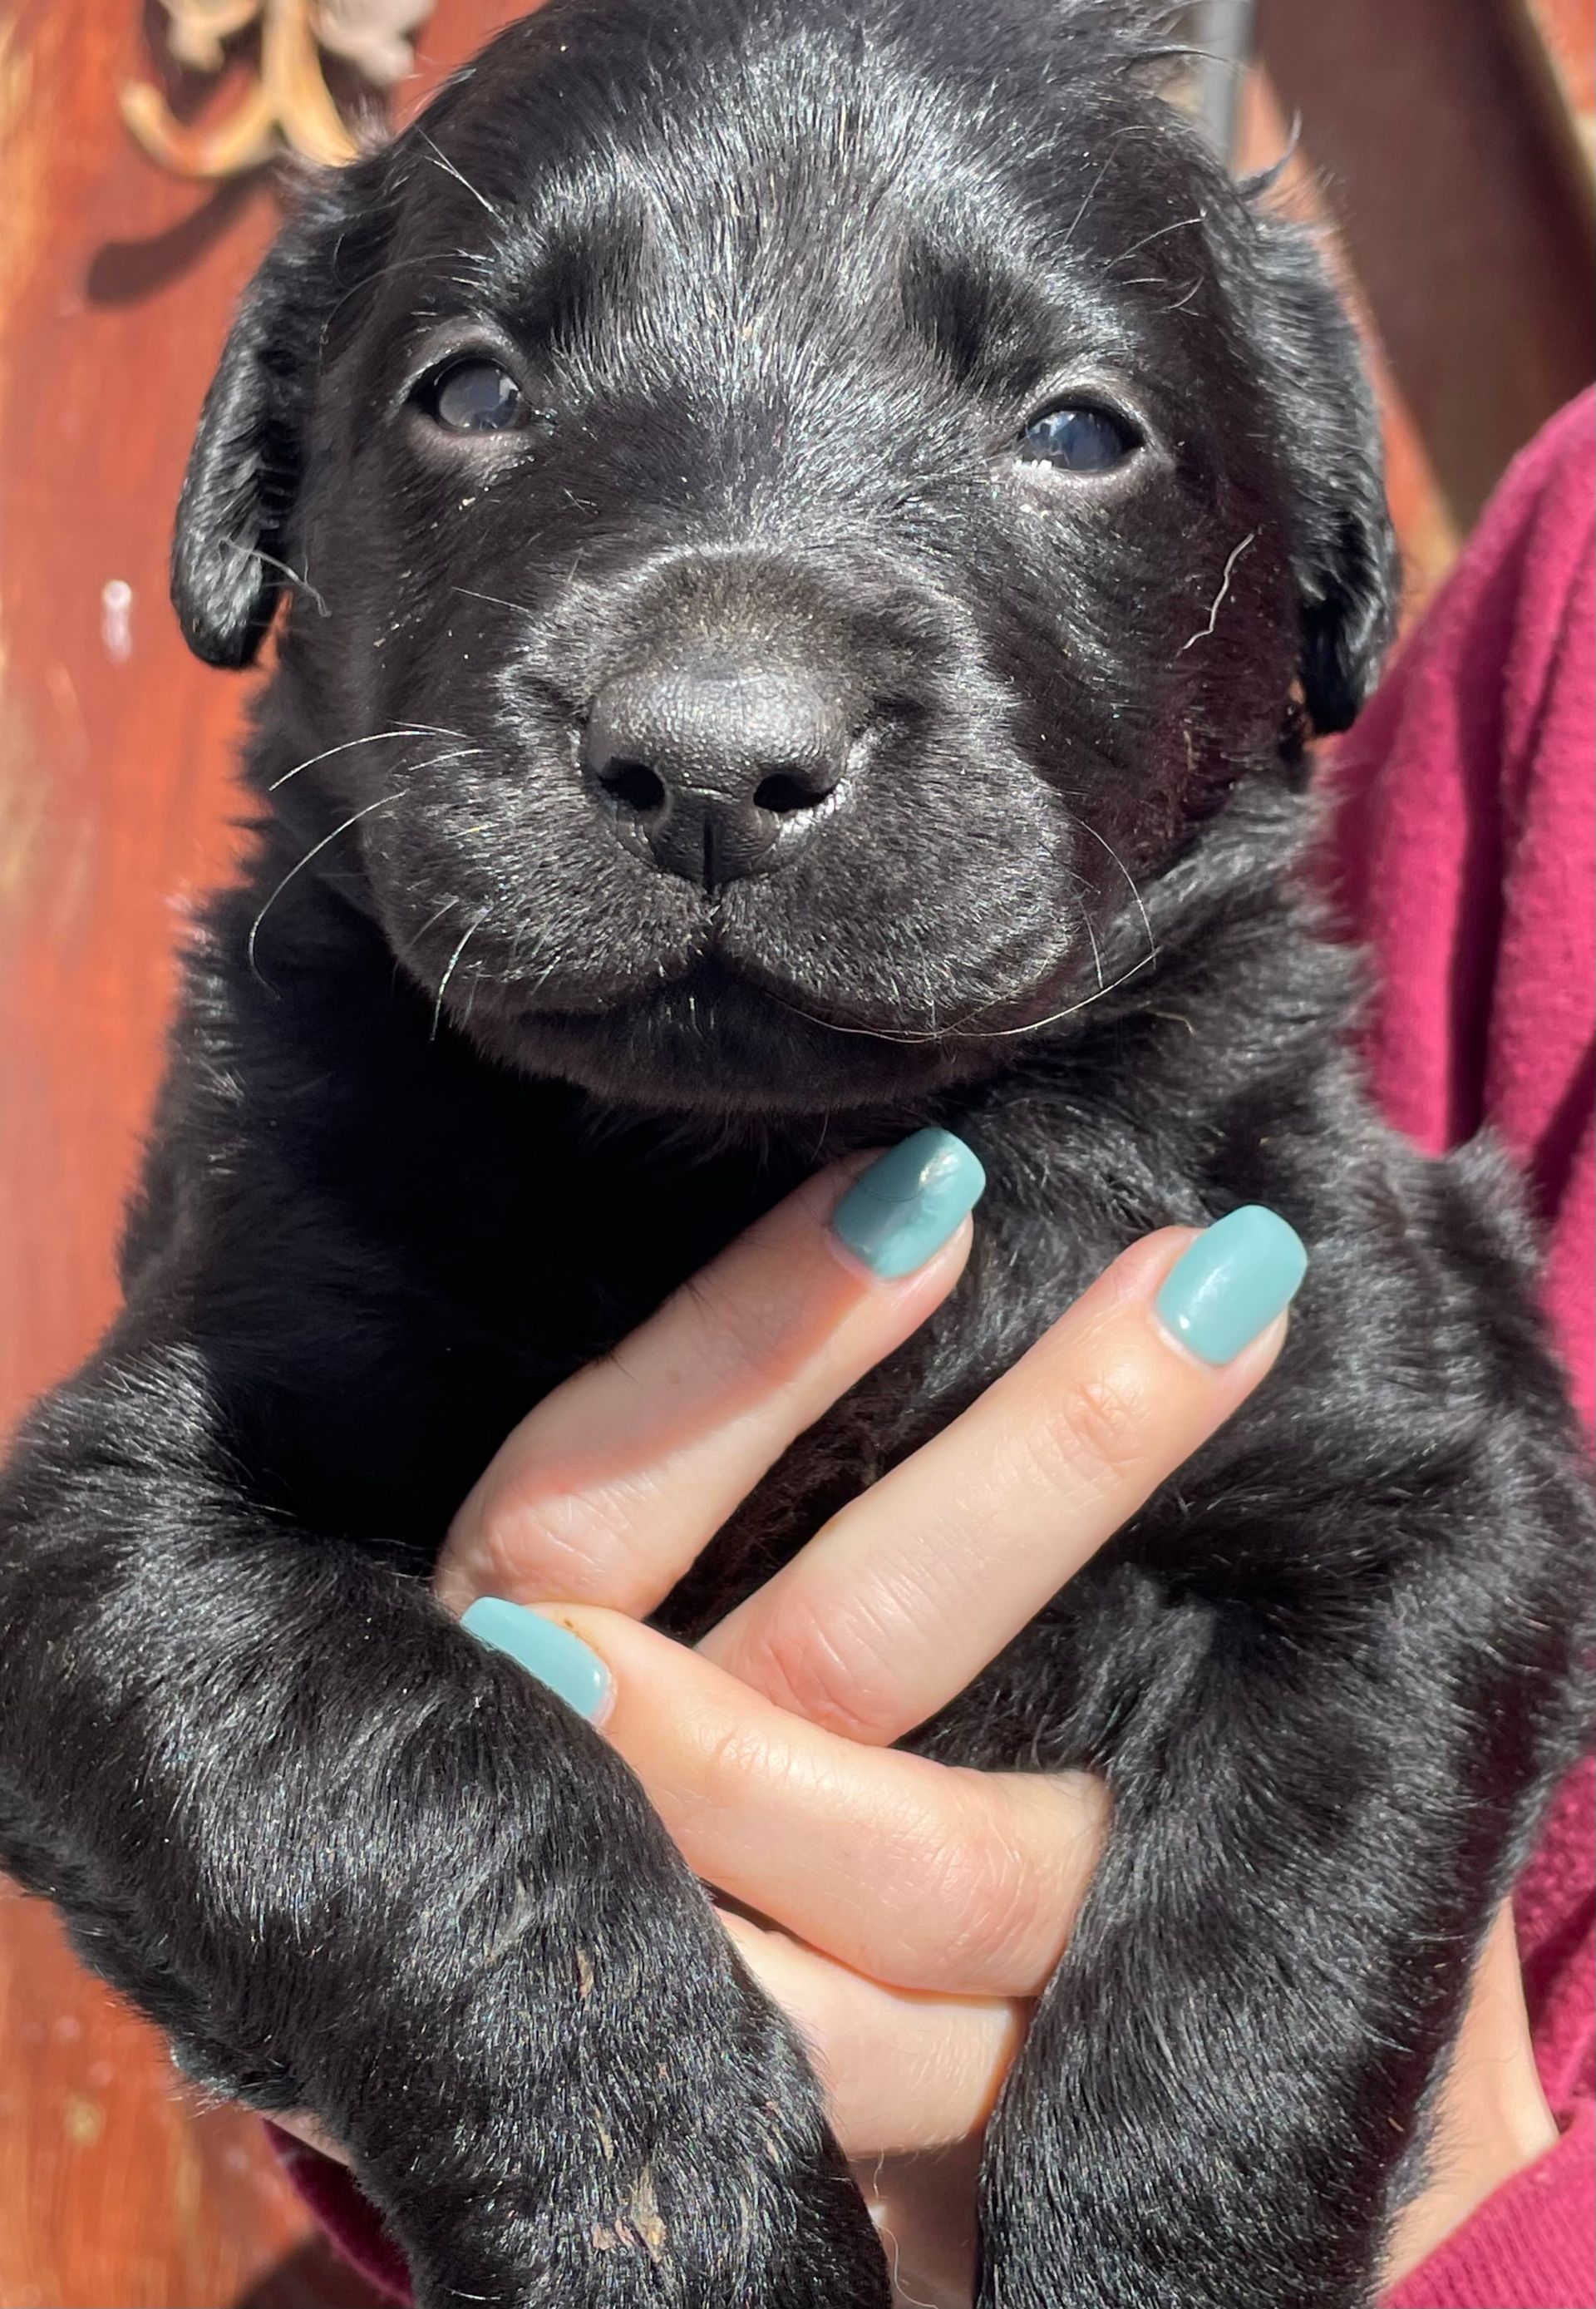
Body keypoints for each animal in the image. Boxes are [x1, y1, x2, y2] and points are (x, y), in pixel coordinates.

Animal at [2, 4, 1596, 2309]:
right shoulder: (121, 1519)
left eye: (1080, 429)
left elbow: (1266, 1949)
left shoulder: (1429, 1467)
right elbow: (441, 1801)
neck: (750, 1148)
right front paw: (680, 2221)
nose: (710, 763)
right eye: (469, 391)